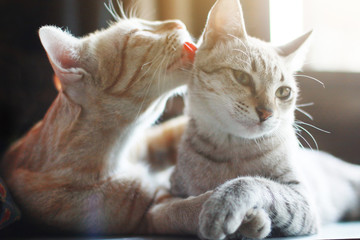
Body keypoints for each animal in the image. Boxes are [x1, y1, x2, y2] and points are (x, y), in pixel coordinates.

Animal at [170, 0, 360, 238]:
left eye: (283, 92)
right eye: (242, 77)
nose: (267, 112)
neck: (233, 150)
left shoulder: (302, 199)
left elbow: (253, 182)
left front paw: (223, 205)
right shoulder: (169, 194)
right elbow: (181, 208)